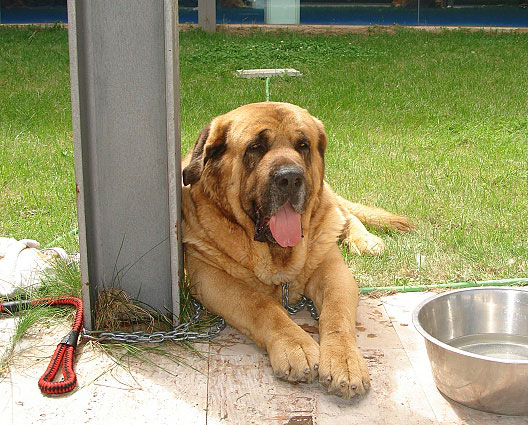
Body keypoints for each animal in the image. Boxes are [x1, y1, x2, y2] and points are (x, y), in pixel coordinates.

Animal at [182, 102, 412, 398]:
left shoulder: (333, 270)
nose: (290, 177)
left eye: (303, 145)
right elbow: (262, 305)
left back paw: (365, 239)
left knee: (344, 212)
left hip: (329, 204)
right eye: (256, 147)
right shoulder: (209, 276)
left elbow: (337, 314)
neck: (277, 258)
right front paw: (295, 345)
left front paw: (344, 360)